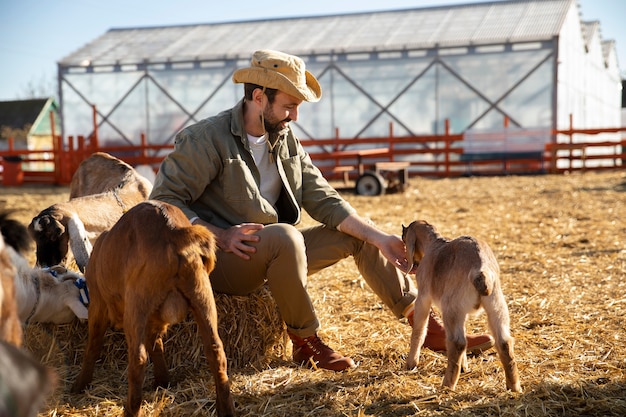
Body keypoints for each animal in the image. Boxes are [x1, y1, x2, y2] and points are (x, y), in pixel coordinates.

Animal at [70, 200, 235, 414]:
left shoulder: (98, 304)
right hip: (202, 296)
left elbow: (93, 344)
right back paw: (225, 409)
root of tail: (172, 231)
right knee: (216, 350)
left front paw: (80, 384)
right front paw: (162, 380)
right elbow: (156, 343)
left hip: (136, 305)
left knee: (138, 359)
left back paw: (131, 411)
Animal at [402, 219, 520, 392]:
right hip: (496, 305)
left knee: (457, 343)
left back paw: (447, 386)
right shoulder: (463, 313)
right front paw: (464, 367)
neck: (434, 244)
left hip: (451, 308)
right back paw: (514, 387)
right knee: (504, 342)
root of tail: (481, 270)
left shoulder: (423, 298)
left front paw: (411, 364)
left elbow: (419, 330)